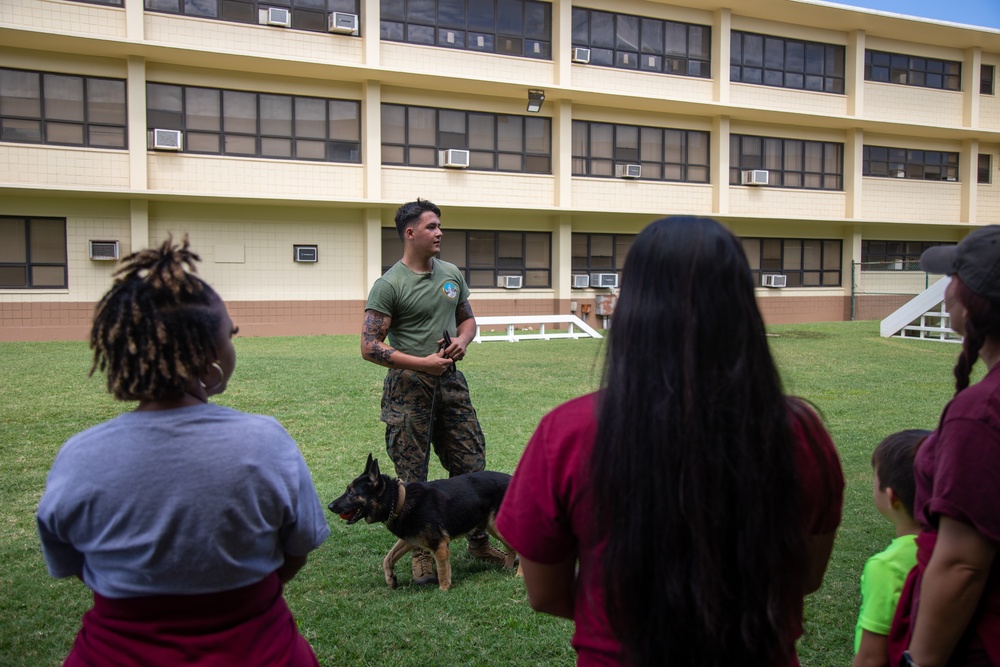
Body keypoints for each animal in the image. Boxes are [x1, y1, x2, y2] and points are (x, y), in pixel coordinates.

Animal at [328, 454, 516, 588]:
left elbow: (442, 572)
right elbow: (388, 558)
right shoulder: (409, 539)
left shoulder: (439, 545)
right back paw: (507, 568)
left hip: (496, 527)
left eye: (351, 493)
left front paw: (444, 590)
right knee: (512, 549)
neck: (398, 500)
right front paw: (390, 579)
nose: (330, 506)